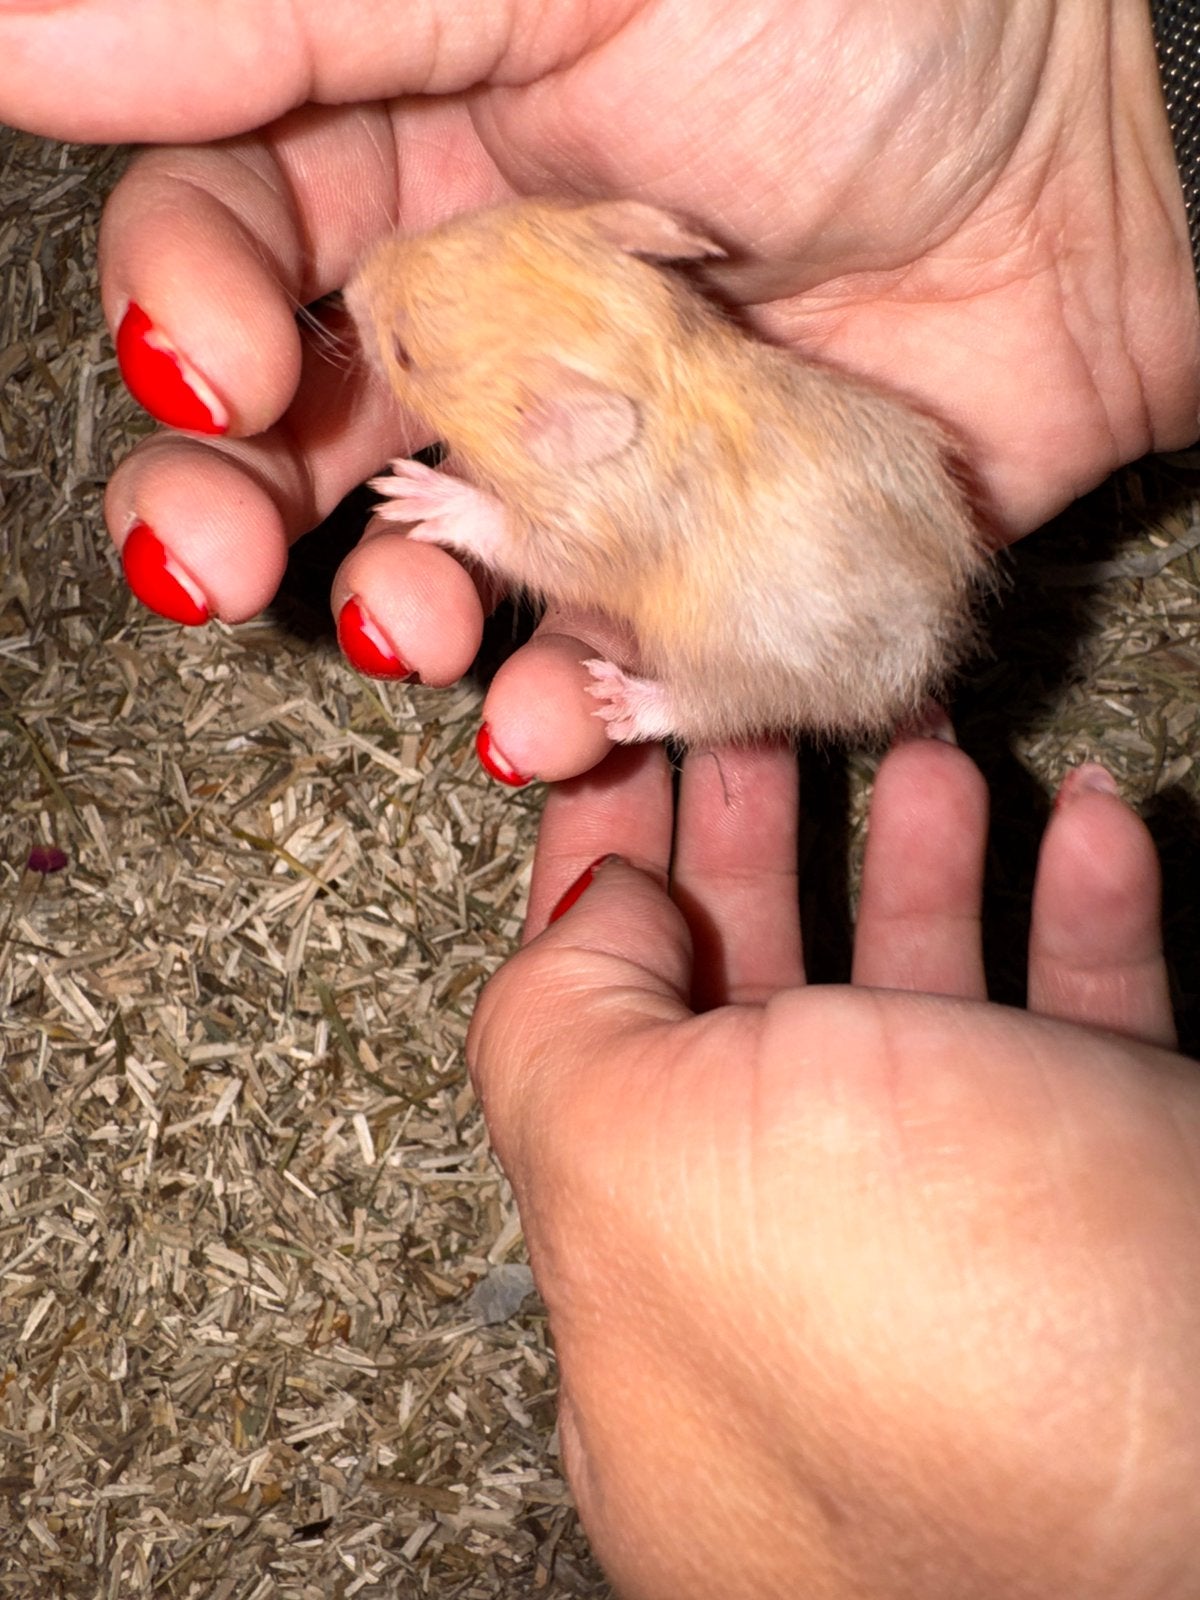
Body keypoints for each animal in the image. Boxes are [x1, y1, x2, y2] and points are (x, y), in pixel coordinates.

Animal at [344, 198, 987, 747]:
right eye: (454, 223)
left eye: (404, 354)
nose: (348, 291)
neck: (654, 365)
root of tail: (923, 654)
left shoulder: (583, 537)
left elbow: (512, 535)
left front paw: (414, 492)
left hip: (749, 674)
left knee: (717, 712)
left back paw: (625, 702)